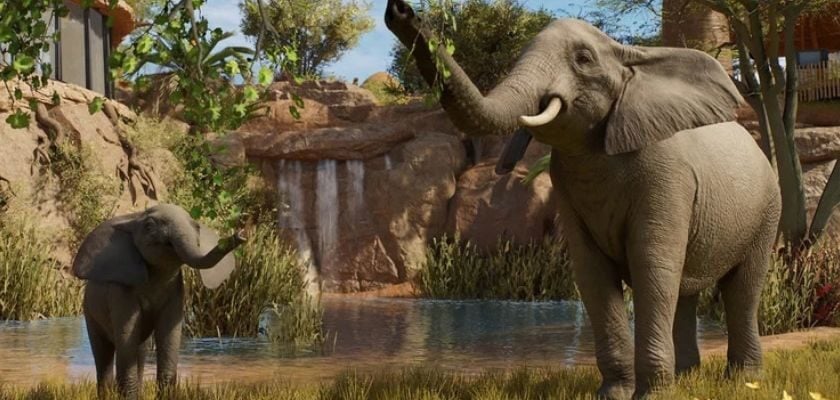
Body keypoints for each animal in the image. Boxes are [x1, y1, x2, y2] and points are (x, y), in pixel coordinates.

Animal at [71, 204, 246, 399]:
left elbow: (169, 335)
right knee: (104, 353)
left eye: (197, 227)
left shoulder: (176, 290)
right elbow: (126, 337)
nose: (240, 234)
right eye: (149, 227)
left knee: (140, 349)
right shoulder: (121, 292)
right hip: (89, 310)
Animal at [385, 1, 781, 398]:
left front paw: (652, 395)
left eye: (583, 58)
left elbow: (652, 266)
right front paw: (614, 394)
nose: (401, 11)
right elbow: (592, 273)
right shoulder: (567, 184)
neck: (630, 58)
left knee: (741, 290)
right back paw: (687, 378)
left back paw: (743, 380)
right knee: (686, 292)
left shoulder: (668, 177)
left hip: (768, 210)